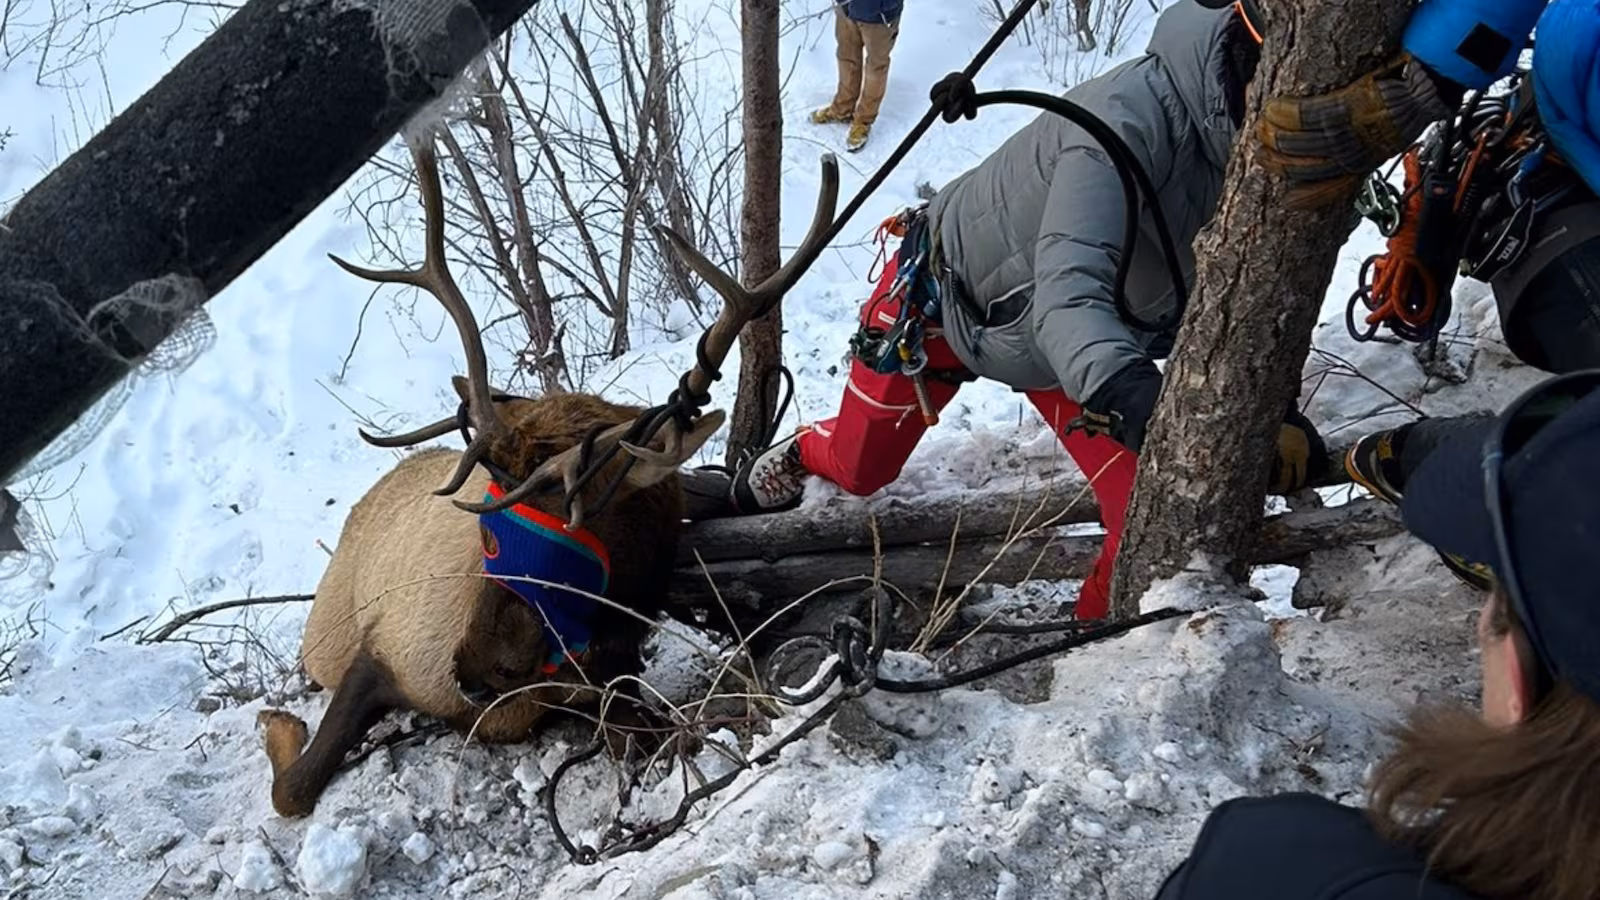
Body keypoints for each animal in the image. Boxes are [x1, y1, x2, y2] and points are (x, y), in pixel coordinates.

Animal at [257, 129, 839, 819]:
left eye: (575, 514)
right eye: (490, 520)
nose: (470, 669)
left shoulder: (614, 681)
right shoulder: (381, 652)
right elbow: (292, 789)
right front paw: (278, 724)